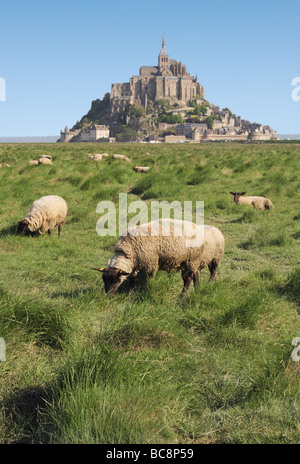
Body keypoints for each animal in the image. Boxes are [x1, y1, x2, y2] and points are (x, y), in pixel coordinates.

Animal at [92, 219, 224, 300]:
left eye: (116, 280)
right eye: (104, 279)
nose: (107, 297)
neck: (129, 251)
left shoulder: (150, 263)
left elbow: (149, 279)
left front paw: (147, 290)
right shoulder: (135, 266)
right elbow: (132, 280)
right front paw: (129, 293)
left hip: (197, 260)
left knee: (191, 278)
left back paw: (183, 295)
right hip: (191, 262)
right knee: (195, 276)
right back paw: (197, 289)